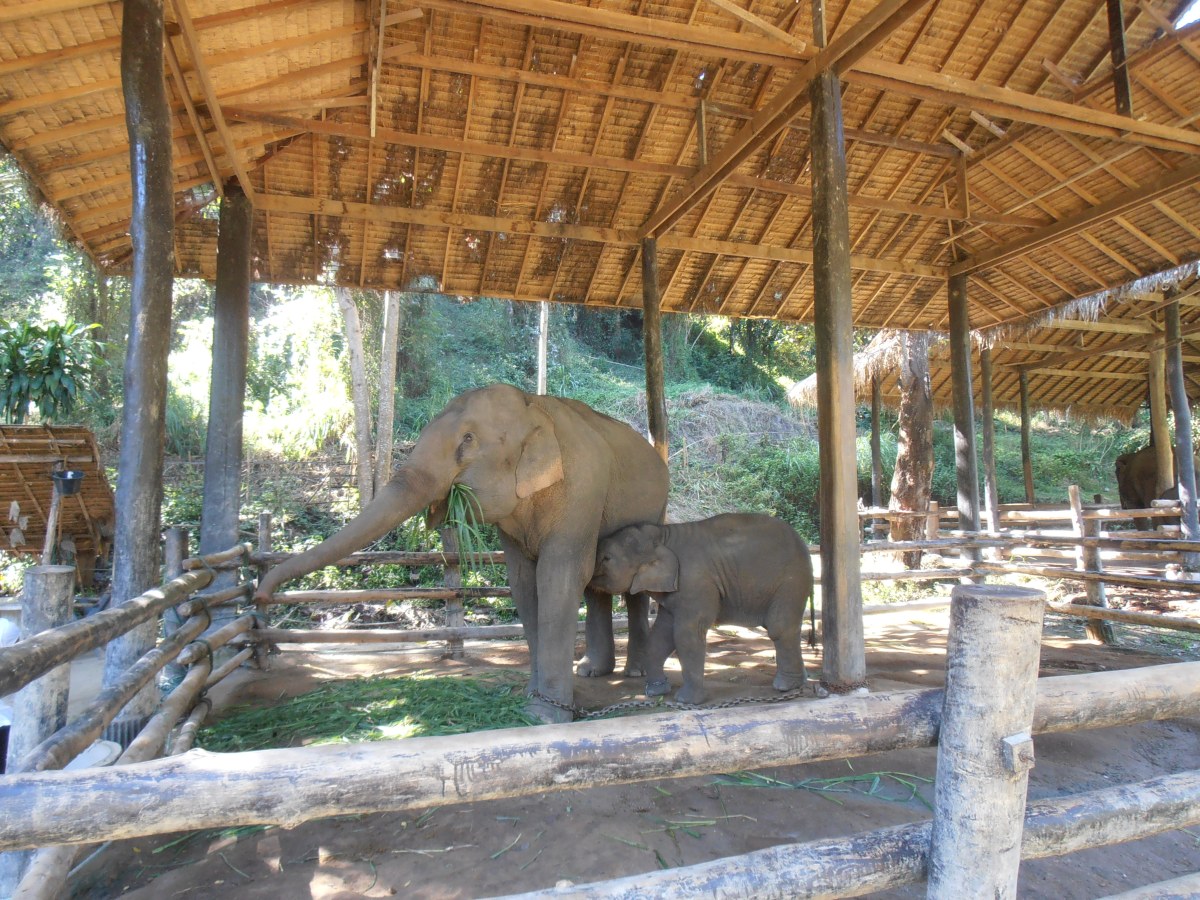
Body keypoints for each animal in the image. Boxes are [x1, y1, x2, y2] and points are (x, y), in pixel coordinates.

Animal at [254, 384, 669, 722]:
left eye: (467, 439)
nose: (258, 597)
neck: (533, 407)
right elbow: (524, 584)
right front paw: (530, 701)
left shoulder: (582, 489)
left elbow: (558, 577)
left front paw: (546, 716)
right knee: (598, 584)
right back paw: (591, 671)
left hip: (653, 510)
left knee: (630, 583)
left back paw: (634, 673)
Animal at [588, 513, 815, 705]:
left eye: (607, 558)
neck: (663, 535)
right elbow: (661, 634)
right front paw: (655, 691)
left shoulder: (694, 583)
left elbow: (686, 633)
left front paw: (686, 702)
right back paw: (801, 680)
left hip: (791, 581)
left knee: (779, 627)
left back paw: (786, 687)